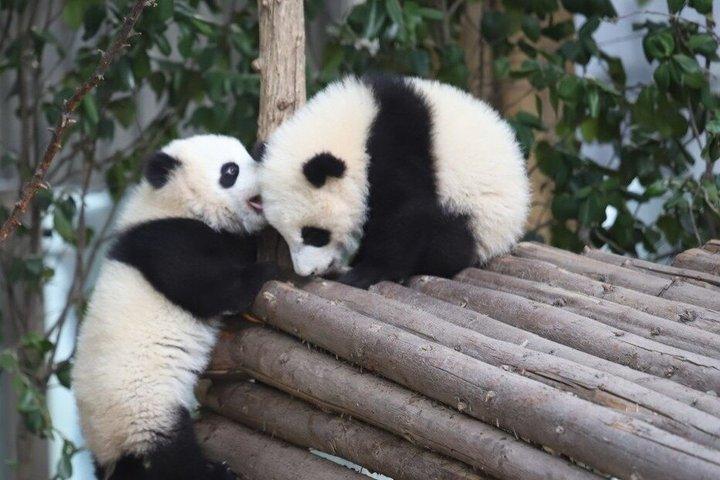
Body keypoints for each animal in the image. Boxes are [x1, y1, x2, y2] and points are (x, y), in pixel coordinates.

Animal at [72, 134, 277, 480]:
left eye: (248, 155)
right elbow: (211, 289)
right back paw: (215, 472)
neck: (173, 203)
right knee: (171, 456)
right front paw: (268, 269)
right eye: (230, 171)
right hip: (143, 408)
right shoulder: (167, 240)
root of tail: (109, 453)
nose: (265, 174)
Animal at [257, 75, 530, 289]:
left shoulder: (395, 147)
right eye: (284, 235)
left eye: (314, 234)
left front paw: (368, 272)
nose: (308, 272)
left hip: (479, 215)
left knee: (449, 240)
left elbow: (405, 212)